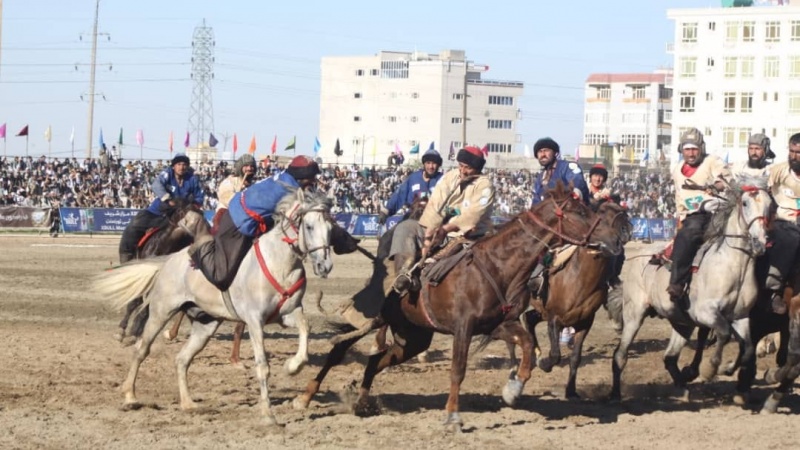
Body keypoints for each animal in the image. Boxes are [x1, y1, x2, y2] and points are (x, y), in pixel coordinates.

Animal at [294, 184, 624, 432]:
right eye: (581, 212)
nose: (614, 240)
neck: (498, 266)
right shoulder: (463, 328)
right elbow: (458, 370)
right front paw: (453, 416)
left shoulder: (497, 325)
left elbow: (528, 344)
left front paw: (513, 389)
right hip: (375, 319)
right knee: (339, 349)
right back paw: (304, 397)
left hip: (413, 337)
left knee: (377, 359)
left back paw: (361, 400)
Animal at [520, 202, 636, 400]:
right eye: (601, 214)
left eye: (621, 209)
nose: (626, 231)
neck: (580, 277)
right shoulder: (554, 319)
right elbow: (556, 354)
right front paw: (545, 363)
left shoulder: (584, 322)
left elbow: (575, 358)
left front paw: (571, 391)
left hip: (541, 311)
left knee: (529, 319)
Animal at [608, 176, 772, 400]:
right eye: (745, 203)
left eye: (771, 205)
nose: (760, 243)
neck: (733, 267)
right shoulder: (705, 313)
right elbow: (723, 332)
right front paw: (710, 369)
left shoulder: (740, 316)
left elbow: (746, 347)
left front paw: (728, 369)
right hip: (634, 314)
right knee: (620, 355)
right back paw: (616, 393)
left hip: (682, 322)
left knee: (669, 357)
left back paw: (683, 386)